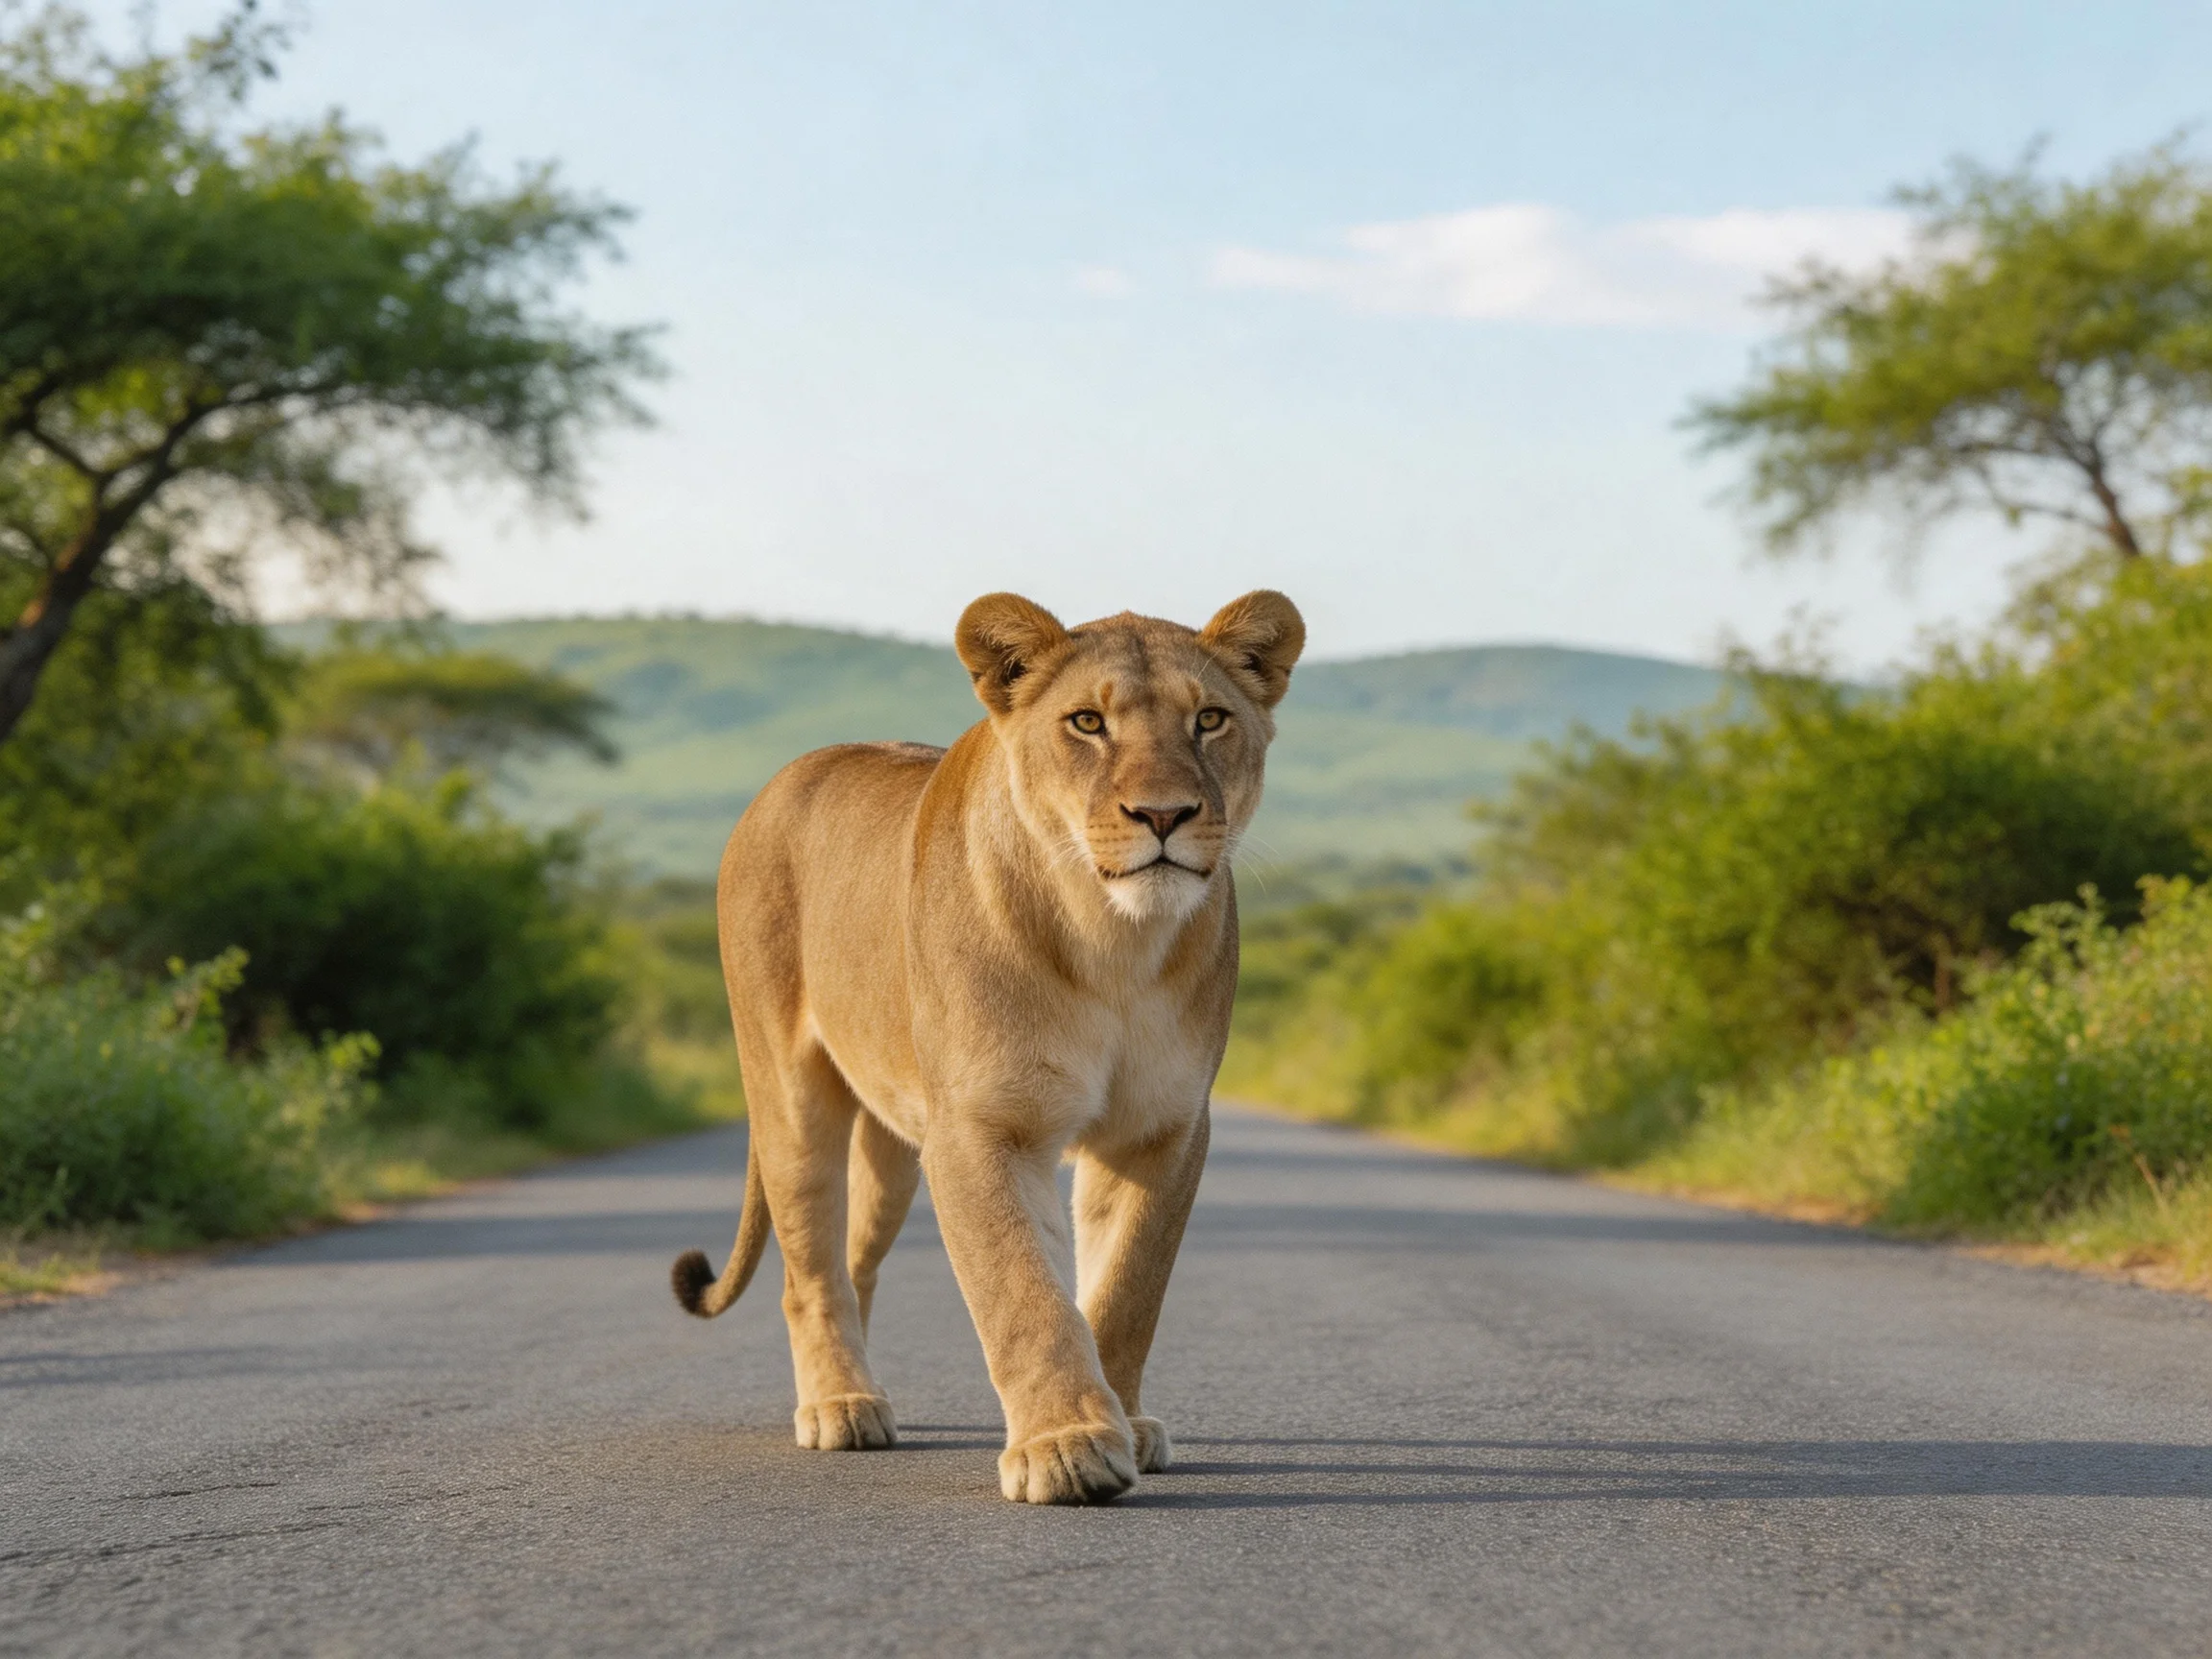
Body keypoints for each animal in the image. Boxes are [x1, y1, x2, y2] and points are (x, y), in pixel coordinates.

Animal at [670, 589, 1304, 1504]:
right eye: (1087, 723)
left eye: (1210, 719)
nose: (1163, 816)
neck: (1113, 942)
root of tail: (782, 779)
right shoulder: (981, 1127)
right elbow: (1021, 1292)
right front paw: (1066, 1447)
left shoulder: (1164, 1129)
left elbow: (1126, 1286)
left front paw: (1123, 1422)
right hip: (790, 1097)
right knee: (808, 1267)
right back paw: (841, 1405)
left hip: (893, 1149)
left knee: (855, 1258)